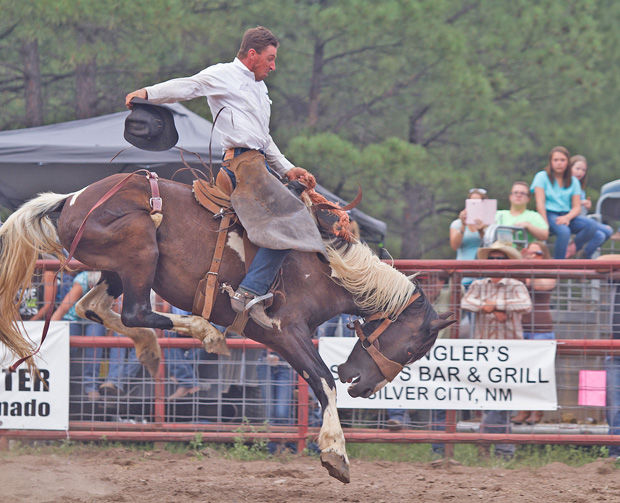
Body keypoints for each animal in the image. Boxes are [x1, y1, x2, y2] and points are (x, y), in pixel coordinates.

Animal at [0, 155, 456, 484]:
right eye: (413, 347)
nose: (360, 383)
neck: (324, 269)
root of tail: (72, 199)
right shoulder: (287, 332)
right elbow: (323, 381)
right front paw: (335, 453)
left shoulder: (285, 339)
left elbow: (317, 381)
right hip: (139, 250)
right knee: (132, 310)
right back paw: (205, 332)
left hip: (117, 270)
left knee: (94, 307)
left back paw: (151, 346)